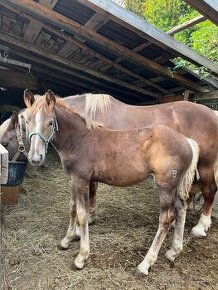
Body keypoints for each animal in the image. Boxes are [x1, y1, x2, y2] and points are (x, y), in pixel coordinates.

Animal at [1, 91, 218, 238]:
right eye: (28, 122)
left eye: (5, 142)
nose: (35, 158)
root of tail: (213, 114)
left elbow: (89, 193)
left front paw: (85, 221)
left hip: (206, 164)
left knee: (209, 190)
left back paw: (201, 226)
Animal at [23, 89, 199, 276]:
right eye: (26, 121)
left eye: (50, 122)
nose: (35, 158)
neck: (79, 139)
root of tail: (187, 141)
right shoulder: (73, 179)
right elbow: (72, 207)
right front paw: (66, 240)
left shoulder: (81, 179)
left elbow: (82, 213)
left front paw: (81, 256)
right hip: (176, 186)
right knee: (181, 208)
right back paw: (174, 251)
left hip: (166, 186)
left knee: (166, 218)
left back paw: (145, 264)